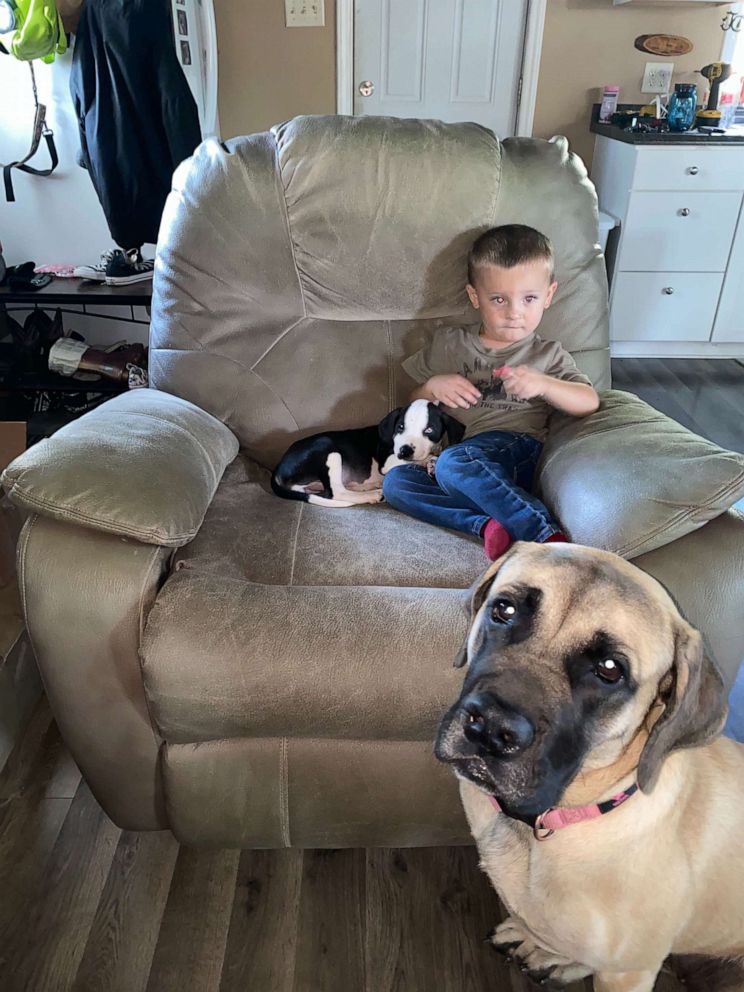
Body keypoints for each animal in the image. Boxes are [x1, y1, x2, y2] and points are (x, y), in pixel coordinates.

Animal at [270, 398, 462, 508]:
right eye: (400, 427)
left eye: (429, 429)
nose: (404, 451)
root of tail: (278, 467)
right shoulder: (386, 463)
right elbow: (420, 459)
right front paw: (430, 460)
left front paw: (432, 463)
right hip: (326, 446)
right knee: (335, 492)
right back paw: (373, 494)